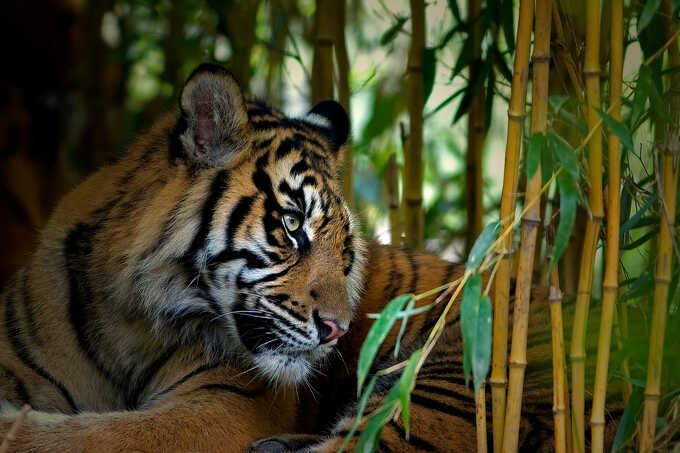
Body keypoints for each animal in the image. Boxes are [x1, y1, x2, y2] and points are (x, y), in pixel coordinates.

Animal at [0, 61, 616, 452]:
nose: (339, 331)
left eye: (343, 248)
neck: (126, 318)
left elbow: (101, 436)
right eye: (293, 227)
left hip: (453, 380)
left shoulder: (224, 406)